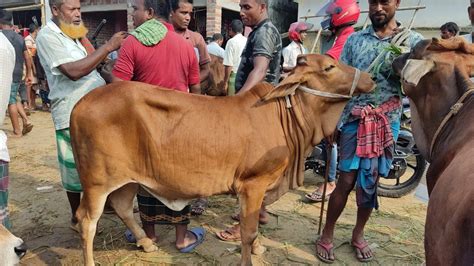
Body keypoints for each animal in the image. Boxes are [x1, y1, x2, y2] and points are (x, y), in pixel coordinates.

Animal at [70, 53, 376, 264]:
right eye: (329, 67)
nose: (370, 78)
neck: (285, 115)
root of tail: (80, 103)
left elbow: (252, 225)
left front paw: (258, 248)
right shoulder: (253, 184)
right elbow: (248, 230)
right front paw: (249, 255)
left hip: (127, 179)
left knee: (122, 207)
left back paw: (146, 243)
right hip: (97, 182)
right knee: (86, 221)